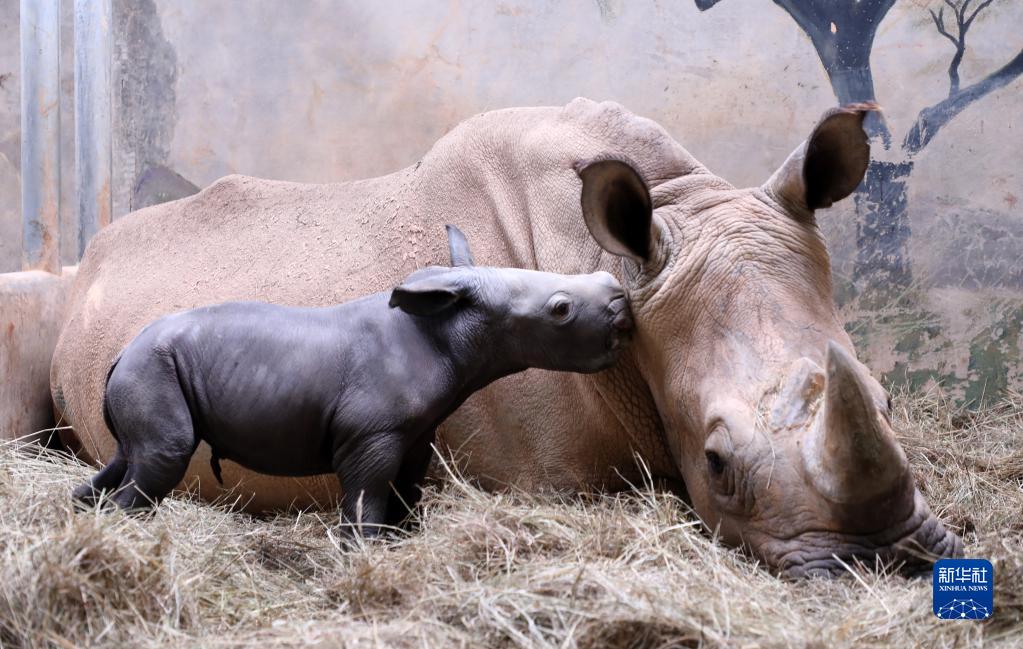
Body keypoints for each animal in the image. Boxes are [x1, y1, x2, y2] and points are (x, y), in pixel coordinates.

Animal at [74, 225, 630, 532]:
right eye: (560, 310)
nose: (621, 300)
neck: (450, 328)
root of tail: (120, 354)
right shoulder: (370, 435)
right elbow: (367, 498)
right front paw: (362, 552)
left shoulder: (415, 434)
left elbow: (405, 494)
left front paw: (400, 545)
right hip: (152, 368)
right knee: (162, 457)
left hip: (145, 369)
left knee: (129, 456)